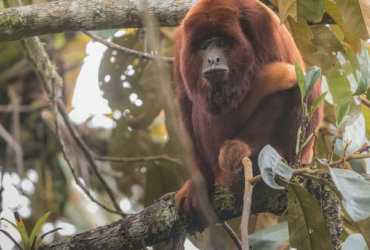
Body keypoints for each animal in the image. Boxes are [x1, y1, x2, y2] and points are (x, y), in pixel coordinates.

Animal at [173, 0, 320, 213]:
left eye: (223, 43)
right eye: (202, 47)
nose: (213, 59)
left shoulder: (262, 24)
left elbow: (294, 84)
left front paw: (235, 151)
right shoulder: (180, 46)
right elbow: (186, 105)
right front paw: (198, 185)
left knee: (305, 87)